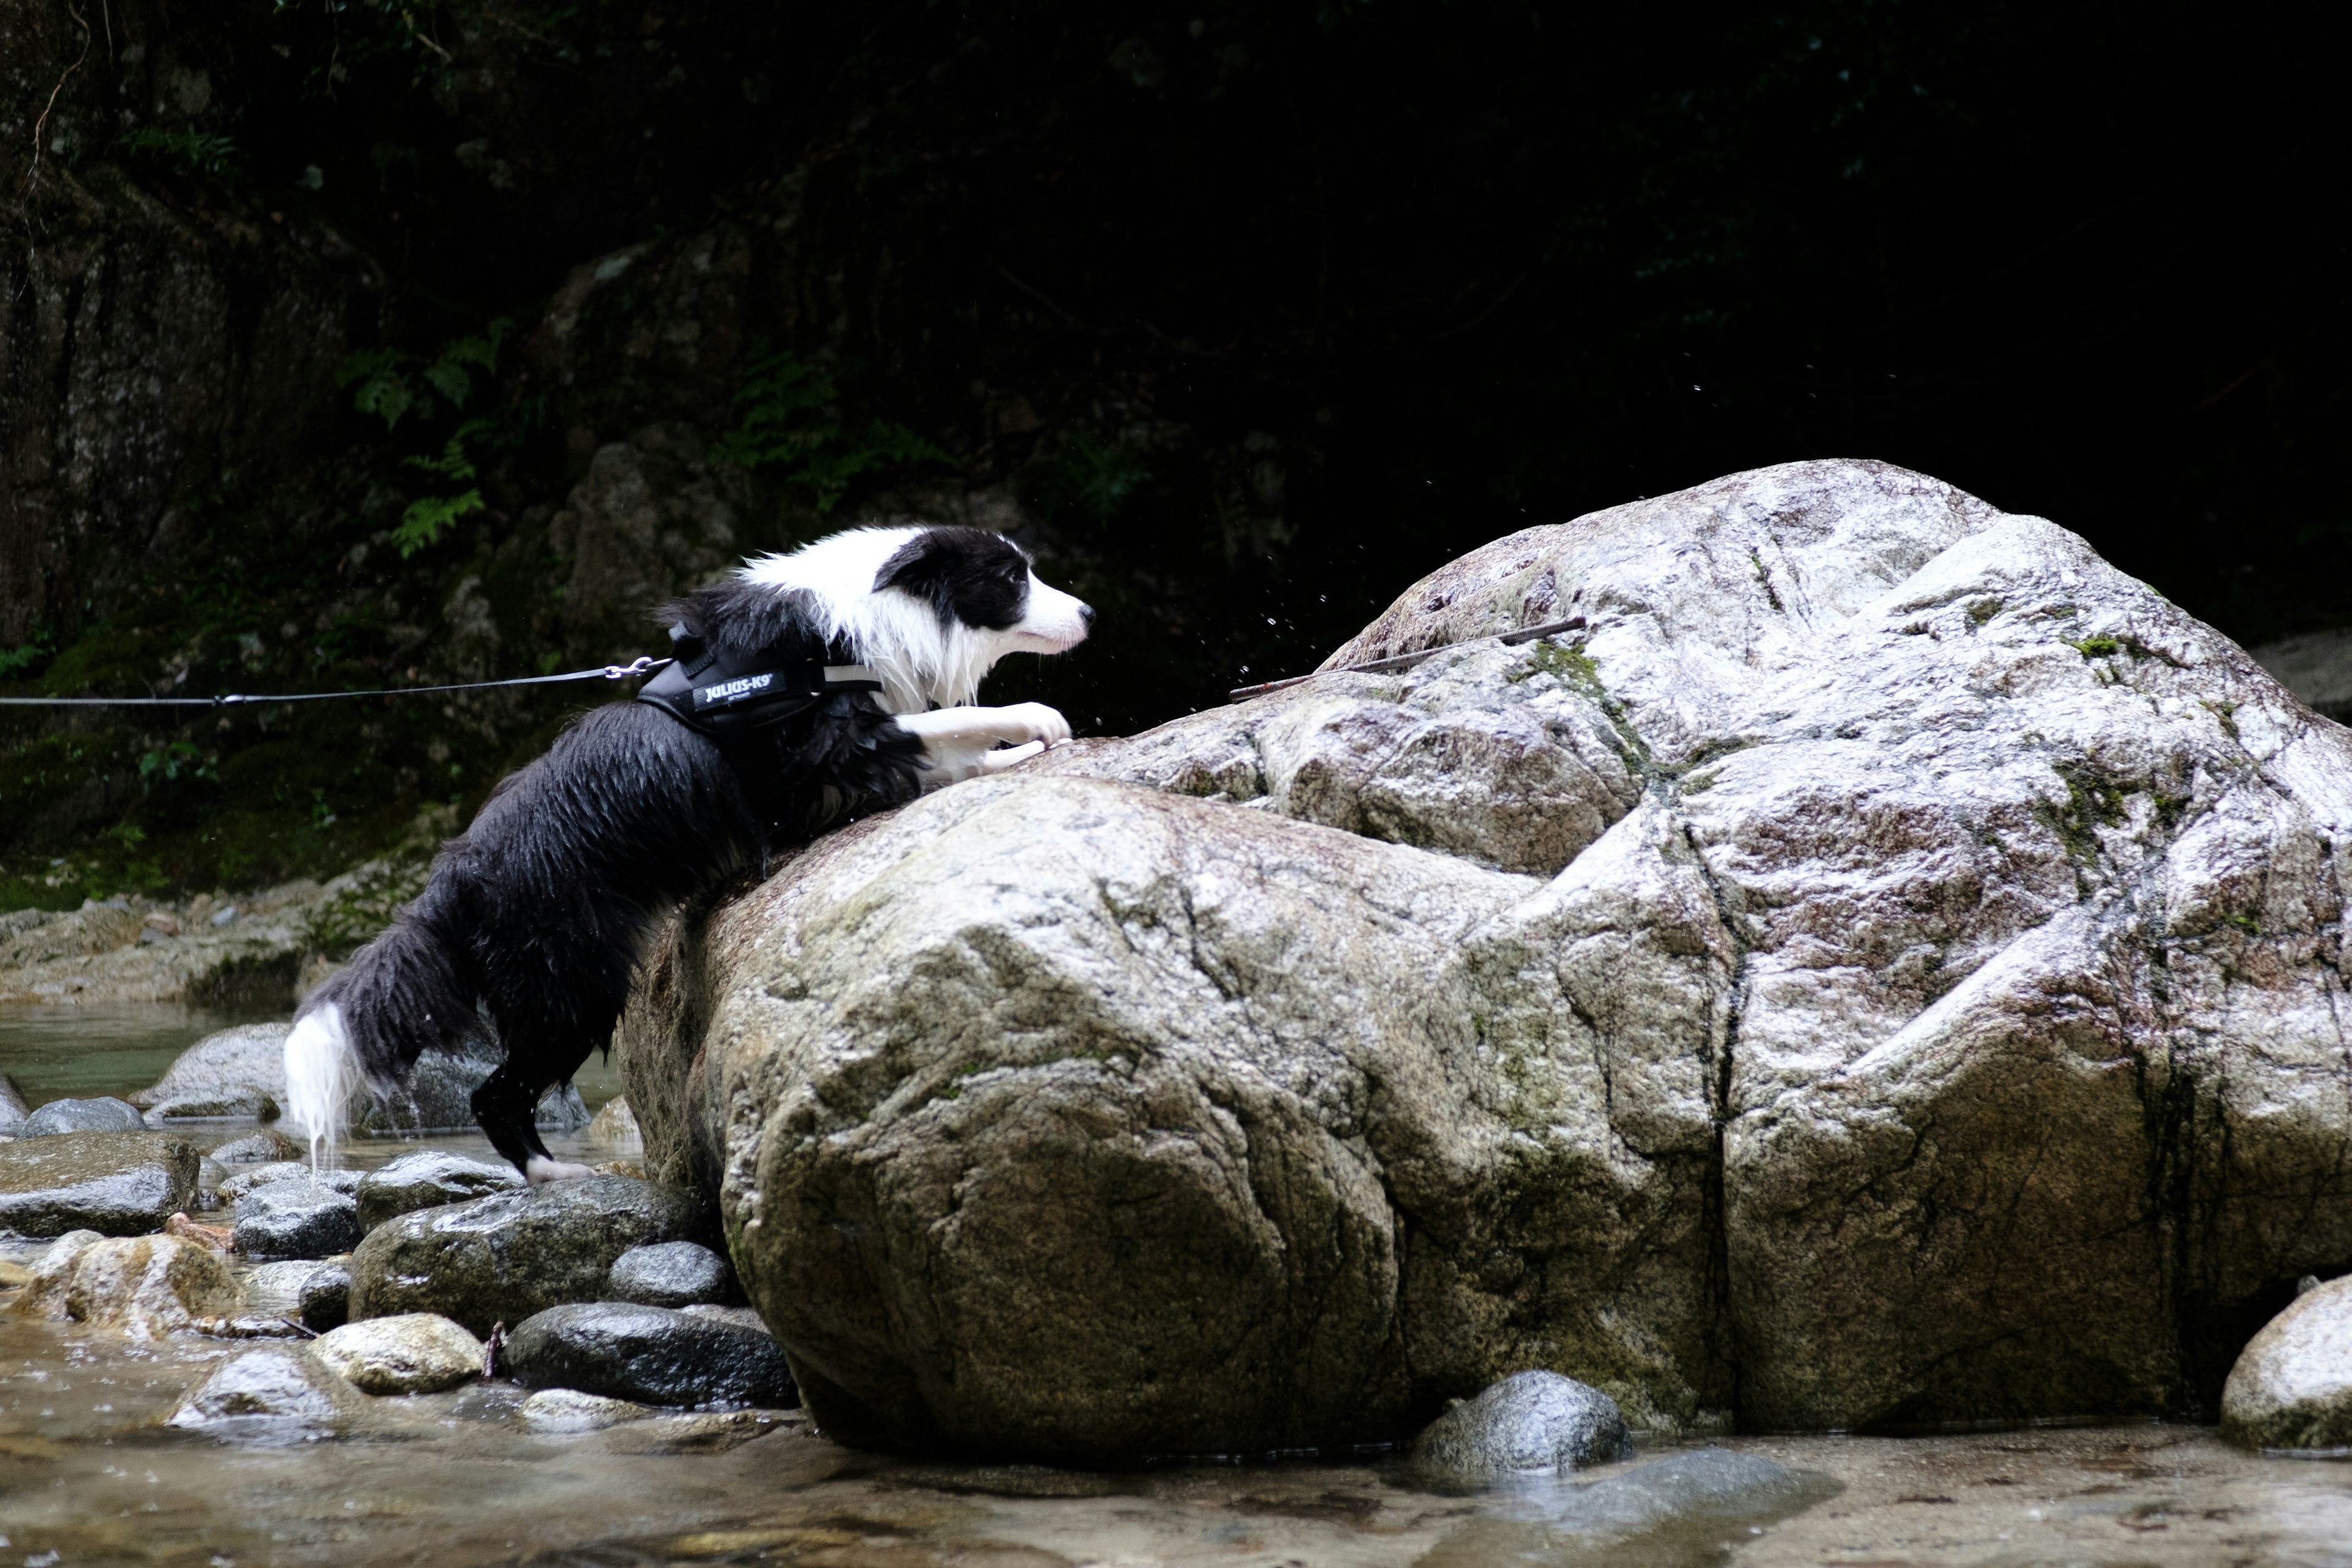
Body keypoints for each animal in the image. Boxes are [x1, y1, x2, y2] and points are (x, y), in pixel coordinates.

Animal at [289, 526, 1096, 1175]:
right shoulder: (826, 746)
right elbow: (939, 733)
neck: (863, 618)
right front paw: (1035, 724)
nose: (1090, 614)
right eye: (1013, 578)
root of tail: (451, 881)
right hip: (572, 983)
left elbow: (946, 754)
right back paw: (556, 1175)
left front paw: (1017, 754)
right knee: (495, 1091)